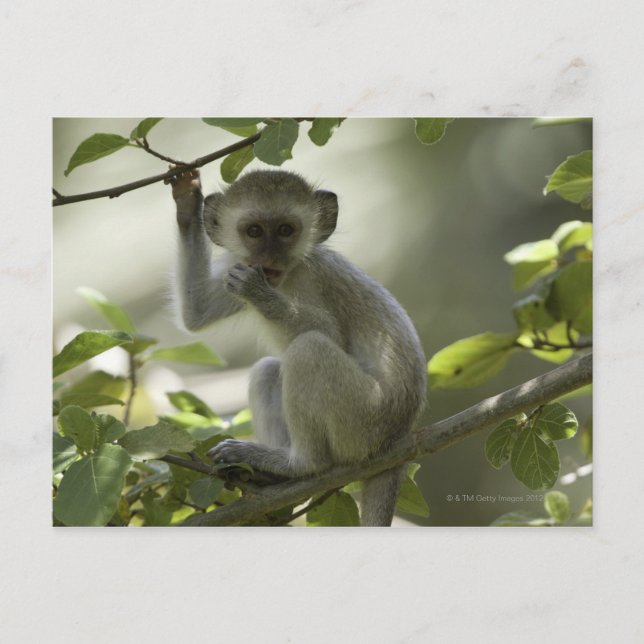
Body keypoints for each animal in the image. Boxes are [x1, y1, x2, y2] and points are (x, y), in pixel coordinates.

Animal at [171, 167, 427, 526]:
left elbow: (329, 333)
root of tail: (399, 437)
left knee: (309, 349)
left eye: (285, 230)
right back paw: (269, 474)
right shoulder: (238, 264)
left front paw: (259, 294)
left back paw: (299, 465)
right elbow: (198, 312)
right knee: (268, 369)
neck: (288, 274)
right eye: (254, 231)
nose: (268, 258)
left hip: (364, 421)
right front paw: (186, 201)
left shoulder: (312, 277)